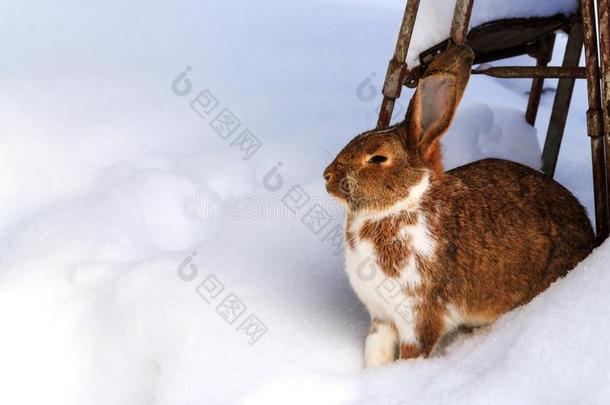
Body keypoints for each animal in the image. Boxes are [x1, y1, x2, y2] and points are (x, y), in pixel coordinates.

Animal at [326, 44, 592, 366]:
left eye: (378, 159)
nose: (327, 176)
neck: (401, 205)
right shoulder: (382, 317)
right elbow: (375, 349)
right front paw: (376, 376)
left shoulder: (417, 313)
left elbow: (414, 350)